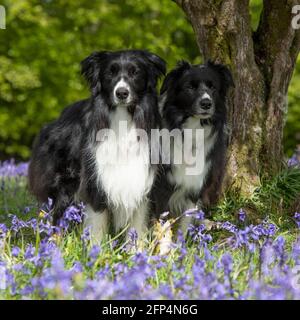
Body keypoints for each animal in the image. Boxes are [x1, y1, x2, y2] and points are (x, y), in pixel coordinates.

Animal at [28, 49, 166, 240]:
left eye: (135, 72)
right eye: (110, 73)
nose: (121, 93)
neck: (123, 118)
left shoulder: (142, 181)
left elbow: (138, 227)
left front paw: (136, 248)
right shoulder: (96, 180)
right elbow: (97, 226)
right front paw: (96, 248)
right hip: (64, 180)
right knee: (58, 215)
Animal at [155, 60, 234, 230]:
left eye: (213, 87)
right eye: (190, 87)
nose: (206, 103)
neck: (192, 129)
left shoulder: (195, 186)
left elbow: (185, 223)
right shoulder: (161, 186)